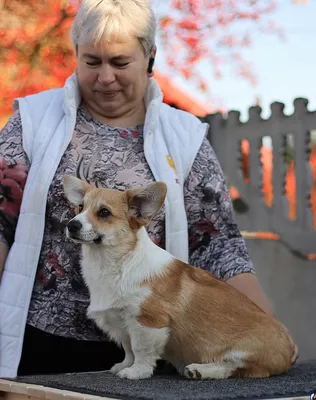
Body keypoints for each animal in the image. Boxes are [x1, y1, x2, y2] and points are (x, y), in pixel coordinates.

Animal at [63, 177, 296, 380]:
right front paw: (124, 365)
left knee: (234, 367)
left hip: (245, 352)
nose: (71, 225)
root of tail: (291, 349)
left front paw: (136, 372)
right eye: (80, 207)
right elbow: (128, 349)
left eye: (104, 212)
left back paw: (202, 370)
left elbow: (141, 350)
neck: (115, 263)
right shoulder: (123, 324)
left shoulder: (148, 322)